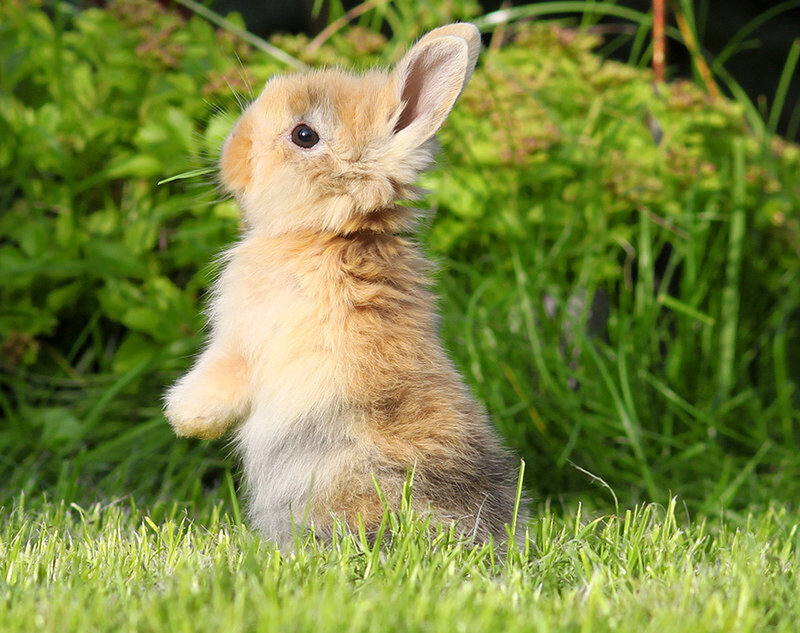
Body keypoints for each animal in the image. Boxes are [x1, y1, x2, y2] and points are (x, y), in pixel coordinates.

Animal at [164, 23, 525, 547]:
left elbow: (218, 378)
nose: (233, 150)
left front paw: (183, 419)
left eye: (304, 135)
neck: (333, 233)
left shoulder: (242, 338)